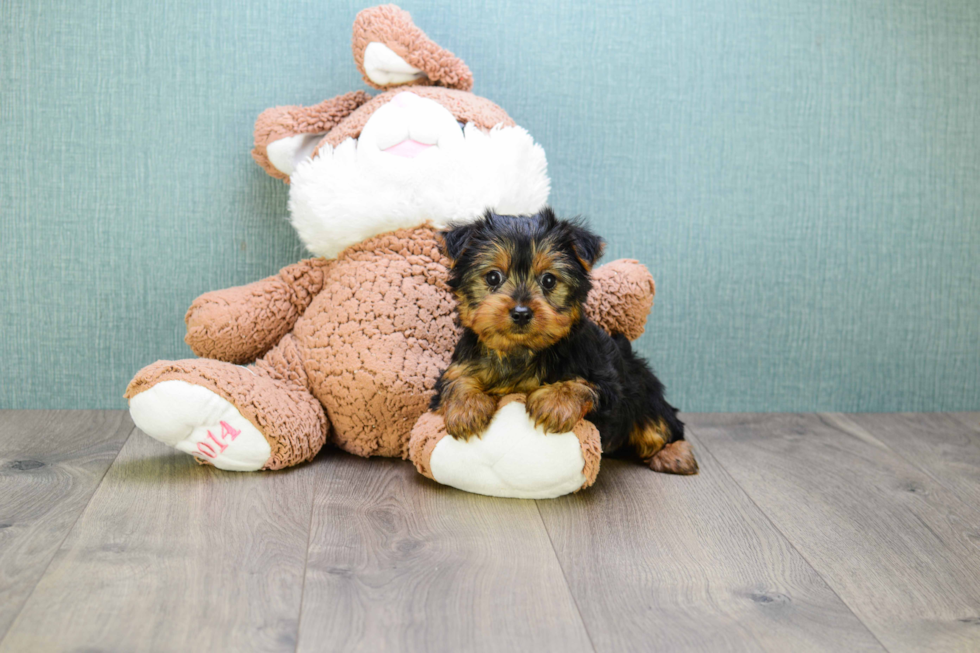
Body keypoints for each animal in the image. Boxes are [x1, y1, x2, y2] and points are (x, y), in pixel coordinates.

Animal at [432, 209, 700, 474]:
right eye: (493, 277)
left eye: (549, 280)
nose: (521, 312)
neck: (521, 352)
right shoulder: (461, 365)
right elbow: (456, 380)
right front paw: (466, 409)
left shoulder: (607, 380)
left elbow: (584, 385)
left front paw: (555, 403)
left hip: (643, 391)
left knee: (660, 423)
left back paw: (675, 454)